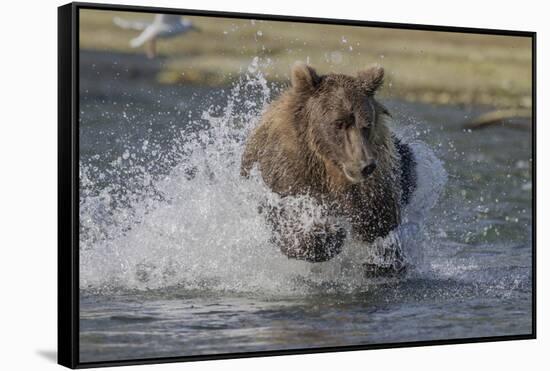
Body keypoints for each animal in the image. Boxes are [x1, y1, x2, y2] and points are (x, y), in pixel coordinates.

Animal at [243, 63, 418, 268]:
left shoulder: (376, 184)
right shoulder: (288, 170)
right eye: (339, 123)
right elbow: (285, 213)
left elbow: (380, 225)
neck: (329, 169)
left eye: (366, 124)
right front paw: (328, 234)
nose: (365, 165)